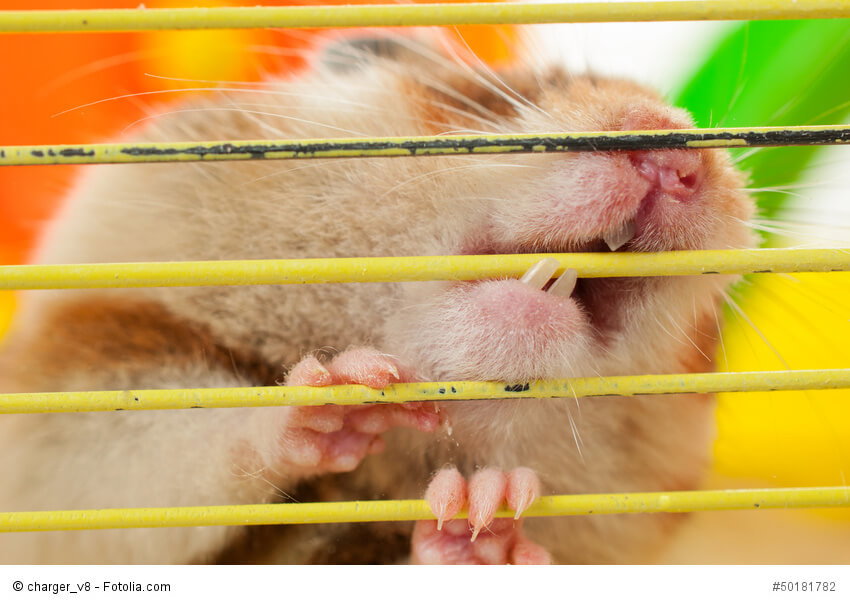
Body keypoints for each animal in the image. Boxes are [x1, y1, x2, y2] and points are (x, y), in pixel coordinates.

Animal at [0, 35, 755, 564]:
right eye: (519, 94)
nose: (683, 160)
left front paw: (485, 510)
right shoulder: (79, 407)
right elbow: (189, 453)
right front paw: (349, 392)